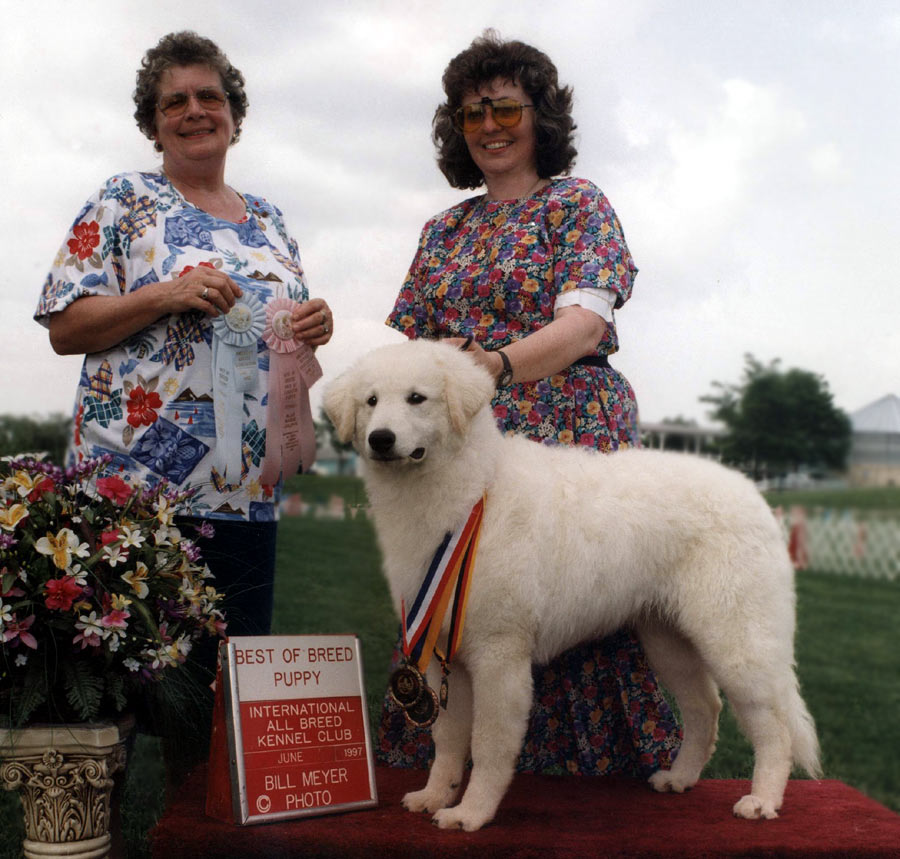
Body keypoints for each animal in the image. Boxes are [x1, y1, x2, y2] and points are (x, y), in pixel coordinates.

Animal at [326, 340, 824, 828]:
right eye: (371, 401)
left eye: (417, 398)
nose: (380, 439)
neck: (472, 490)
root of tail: (753, 493)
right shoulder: (442, 653)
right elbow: (447, 740)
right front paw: (434, 797)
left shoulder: (499, 656)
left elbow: (487, 746)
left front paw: (471, 813)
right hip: (669, 641)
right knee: (706, 708)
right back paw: (679, 779)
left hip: (736, 641)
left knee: (774, 726)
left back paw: (761, 801)